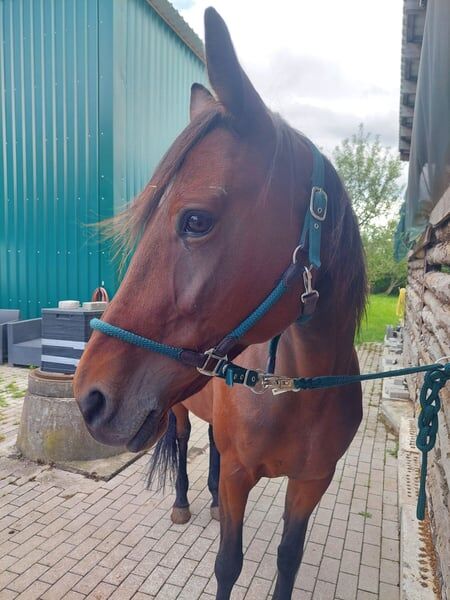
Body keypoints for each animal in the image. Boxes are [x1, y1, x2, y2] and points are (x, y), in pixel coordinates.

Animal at [74, 7, 368, 596]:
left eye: (195, 220)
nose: (88, 397)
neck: (297, 389)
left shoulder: (310, 483)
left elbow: (288, 559)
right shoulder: (238, 474)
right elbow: (227, 563)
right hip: (179, 411)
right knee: (191, 442)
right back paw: (188, 503)